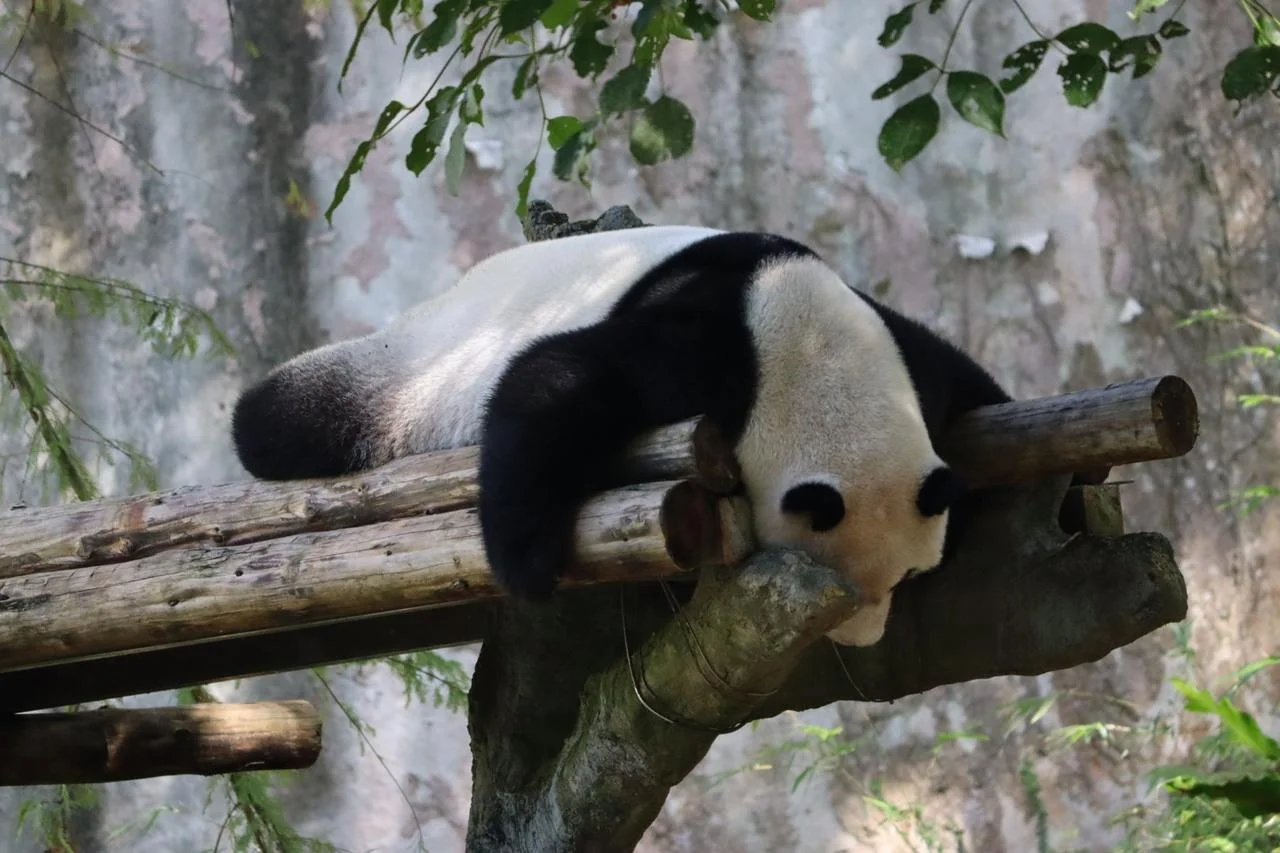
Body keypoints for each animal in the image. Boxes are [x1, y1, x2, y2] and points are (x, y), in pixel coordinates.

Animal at [231, 226, 1010, 647]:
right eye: (838, 594)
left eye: (908, 579)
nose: (861, 637)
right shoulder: (705, 347)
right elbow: (556, 379)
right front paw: (529, 565)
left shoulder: (892, 350)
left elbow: (953, 368)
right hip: (411, 372)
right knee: (284, 418)